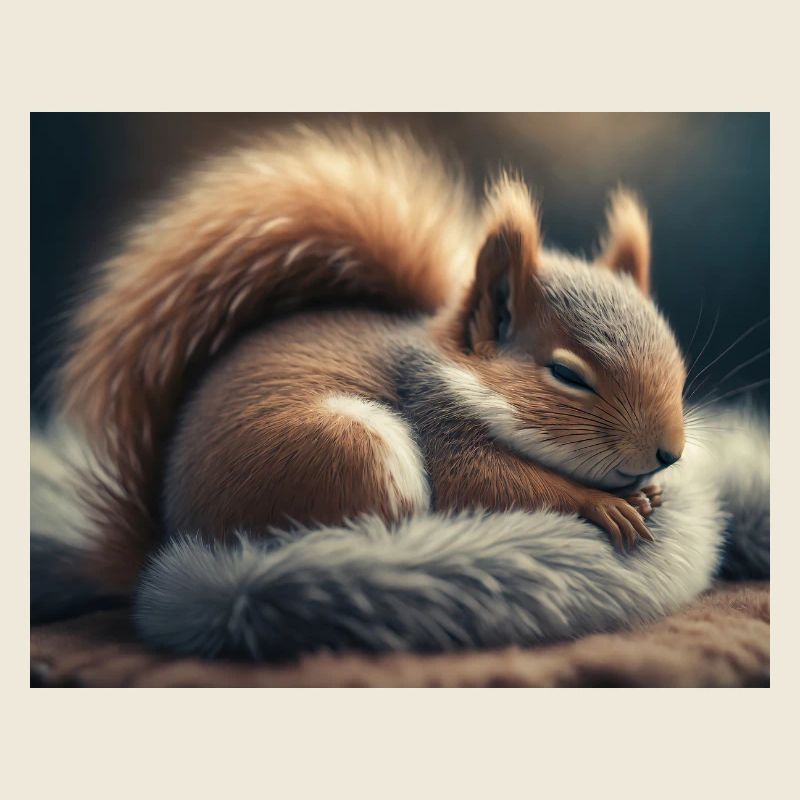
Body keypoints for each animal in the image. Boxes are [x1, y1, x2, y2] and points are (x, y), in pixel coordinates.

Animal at [58, 124, 687, 595]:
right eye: (566, 375)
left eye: (677, 367)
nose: (670, 454)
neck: (458, 375)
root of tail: (170, 543)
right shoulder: (439, 427)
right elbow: (491, 486)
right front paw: (601, 504)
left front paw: (649, 493)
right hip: (347, 449)